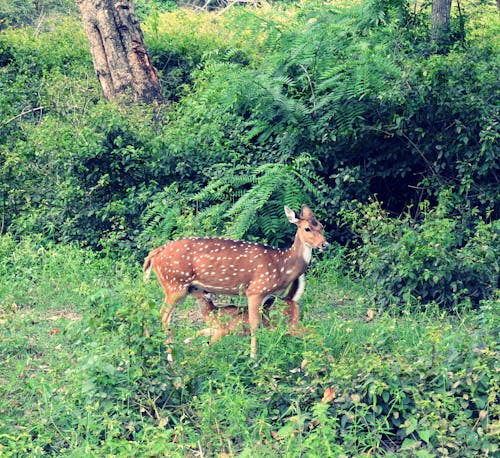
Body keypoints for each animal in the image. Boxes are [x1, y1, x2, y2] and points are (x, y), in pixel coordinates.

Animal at [143, 206, 330, 360]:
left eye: (321, 226)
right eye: (307, 228)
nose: (325, 244)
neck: (282, 266)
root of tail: (156, 252)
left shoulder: (270, 297)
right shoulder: (255, 290)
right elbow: (254, 324)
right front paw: (253, 358)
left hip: (179, 287)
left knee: (163, 315)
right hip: (175, 284)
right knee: (162, 315)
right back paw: (169, 357)